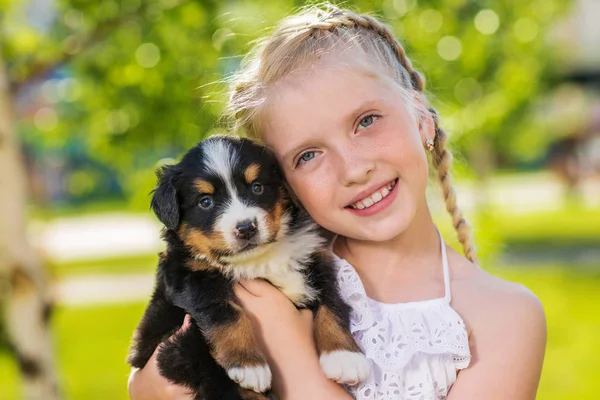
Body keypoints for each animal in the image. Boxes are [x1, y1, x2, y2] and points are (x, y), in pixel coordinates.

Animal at [127, 136, 370, 398]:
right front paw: (247, 364)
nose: (246, 228)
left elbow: (332, 303)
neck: (258, 260)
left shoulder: (316, 259)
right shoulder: (190, 276)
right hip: (183, 347)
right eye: (205, 201)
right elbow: (226, 313)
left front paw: (344, 357)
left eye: (257, 187)